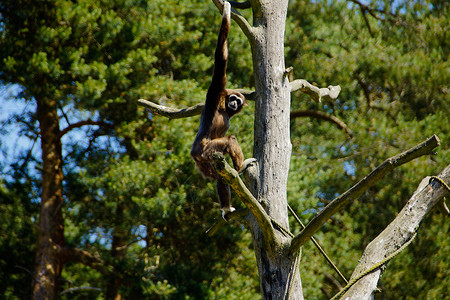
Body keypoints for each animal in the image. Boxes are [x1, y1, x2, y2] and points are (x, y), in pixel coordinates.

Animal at [189, 1, 253, 219]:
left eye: (237, 101)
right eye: (232, 99)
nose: (233, 104)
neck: (224, 105)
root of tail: (194, 152)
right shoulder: (217, 89)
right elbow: (221, 57)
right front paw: (226, 11)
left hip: (203, 161)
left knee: (219, 176)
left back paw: (226, 207)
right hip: (206, 151)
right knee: (230, 140)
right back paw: (240, 168)